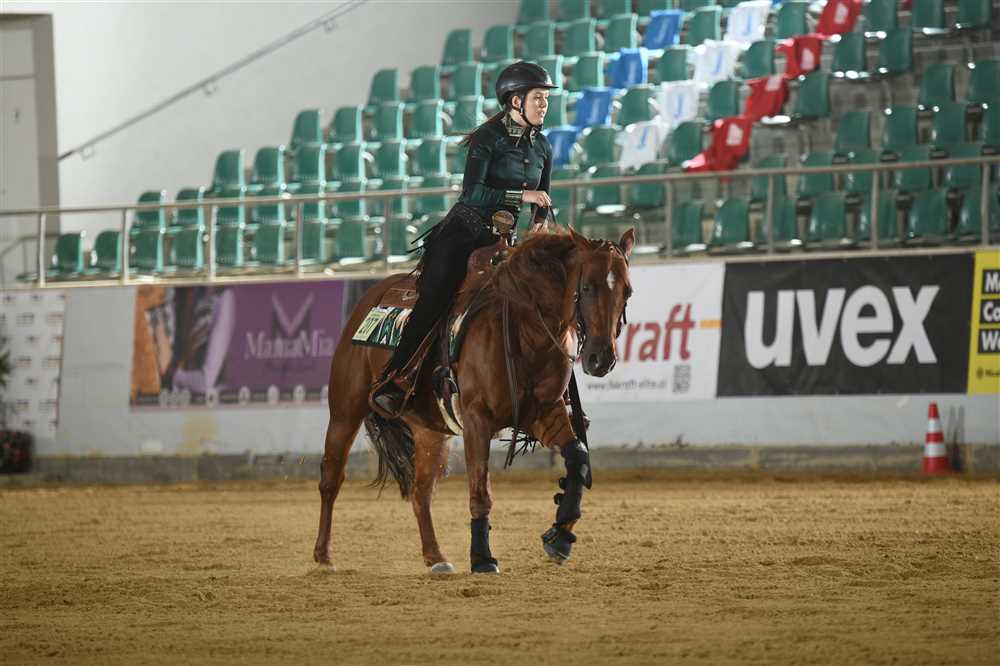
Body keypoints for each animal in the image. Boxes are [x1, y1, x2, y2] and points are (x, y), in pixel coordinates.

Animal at [312, 225, 634, 573]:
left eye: (627, 292)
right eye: (586, 287)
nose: (601, 358)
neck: (526, 329)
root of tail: (371, 299)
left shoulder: (546, 412)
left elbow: (578, 458)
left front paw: (560, 535)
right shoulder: (478, 419)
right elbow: (480, 488)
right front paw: (482, 557)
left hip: (430, 431)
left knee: (420, 493)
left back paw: (436, 558)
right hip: (345, 411)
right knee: (331, 479)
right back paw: (324, 556)